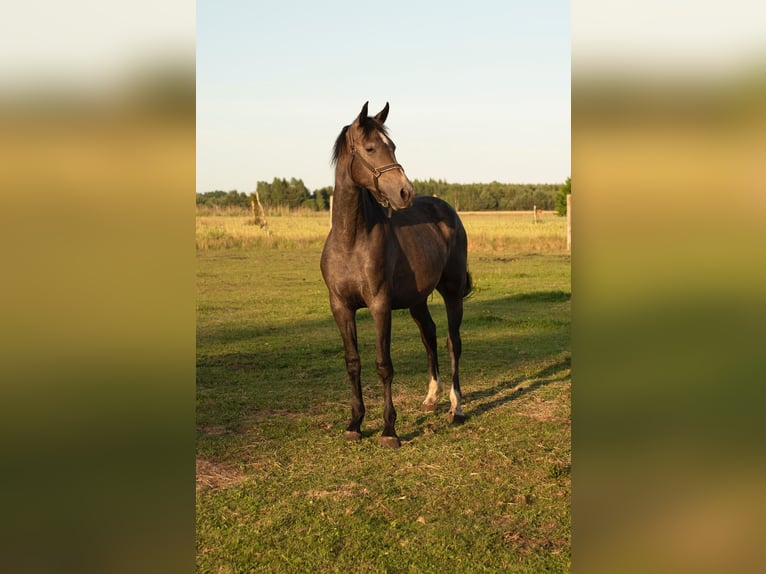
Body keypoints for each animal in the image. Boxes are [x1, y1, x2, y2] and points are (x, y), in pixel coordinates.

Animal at [320, 102, 472, 448]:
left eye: (393, 146)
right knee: (429, 335)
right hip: (417, 301)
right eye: (371, 148)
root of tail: (448, 211)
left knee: (452, 341)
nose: (405, 192)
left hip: (452, 292)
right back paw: (431, 399)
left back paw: (455, 406)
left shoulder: (380, 305)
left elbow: (383, 364)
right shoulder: (340, 307)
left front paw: (389, 430)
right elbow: (353, 362)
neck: (351, 239)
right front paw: (355, 423)